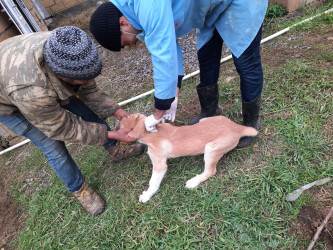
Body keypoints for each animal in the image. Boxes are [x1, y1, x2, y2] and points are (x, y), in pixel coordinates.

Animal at [119, 113, 256, 203]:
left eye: (125, 118)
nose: (117, 120)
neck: (152, 133)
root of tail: (237, 127)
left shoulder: (160, 165)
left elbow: (153, 182)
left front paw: (147, 195)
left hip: (211, 149)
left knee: (210, 171)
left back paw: (193, 181)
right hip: (205, 120)